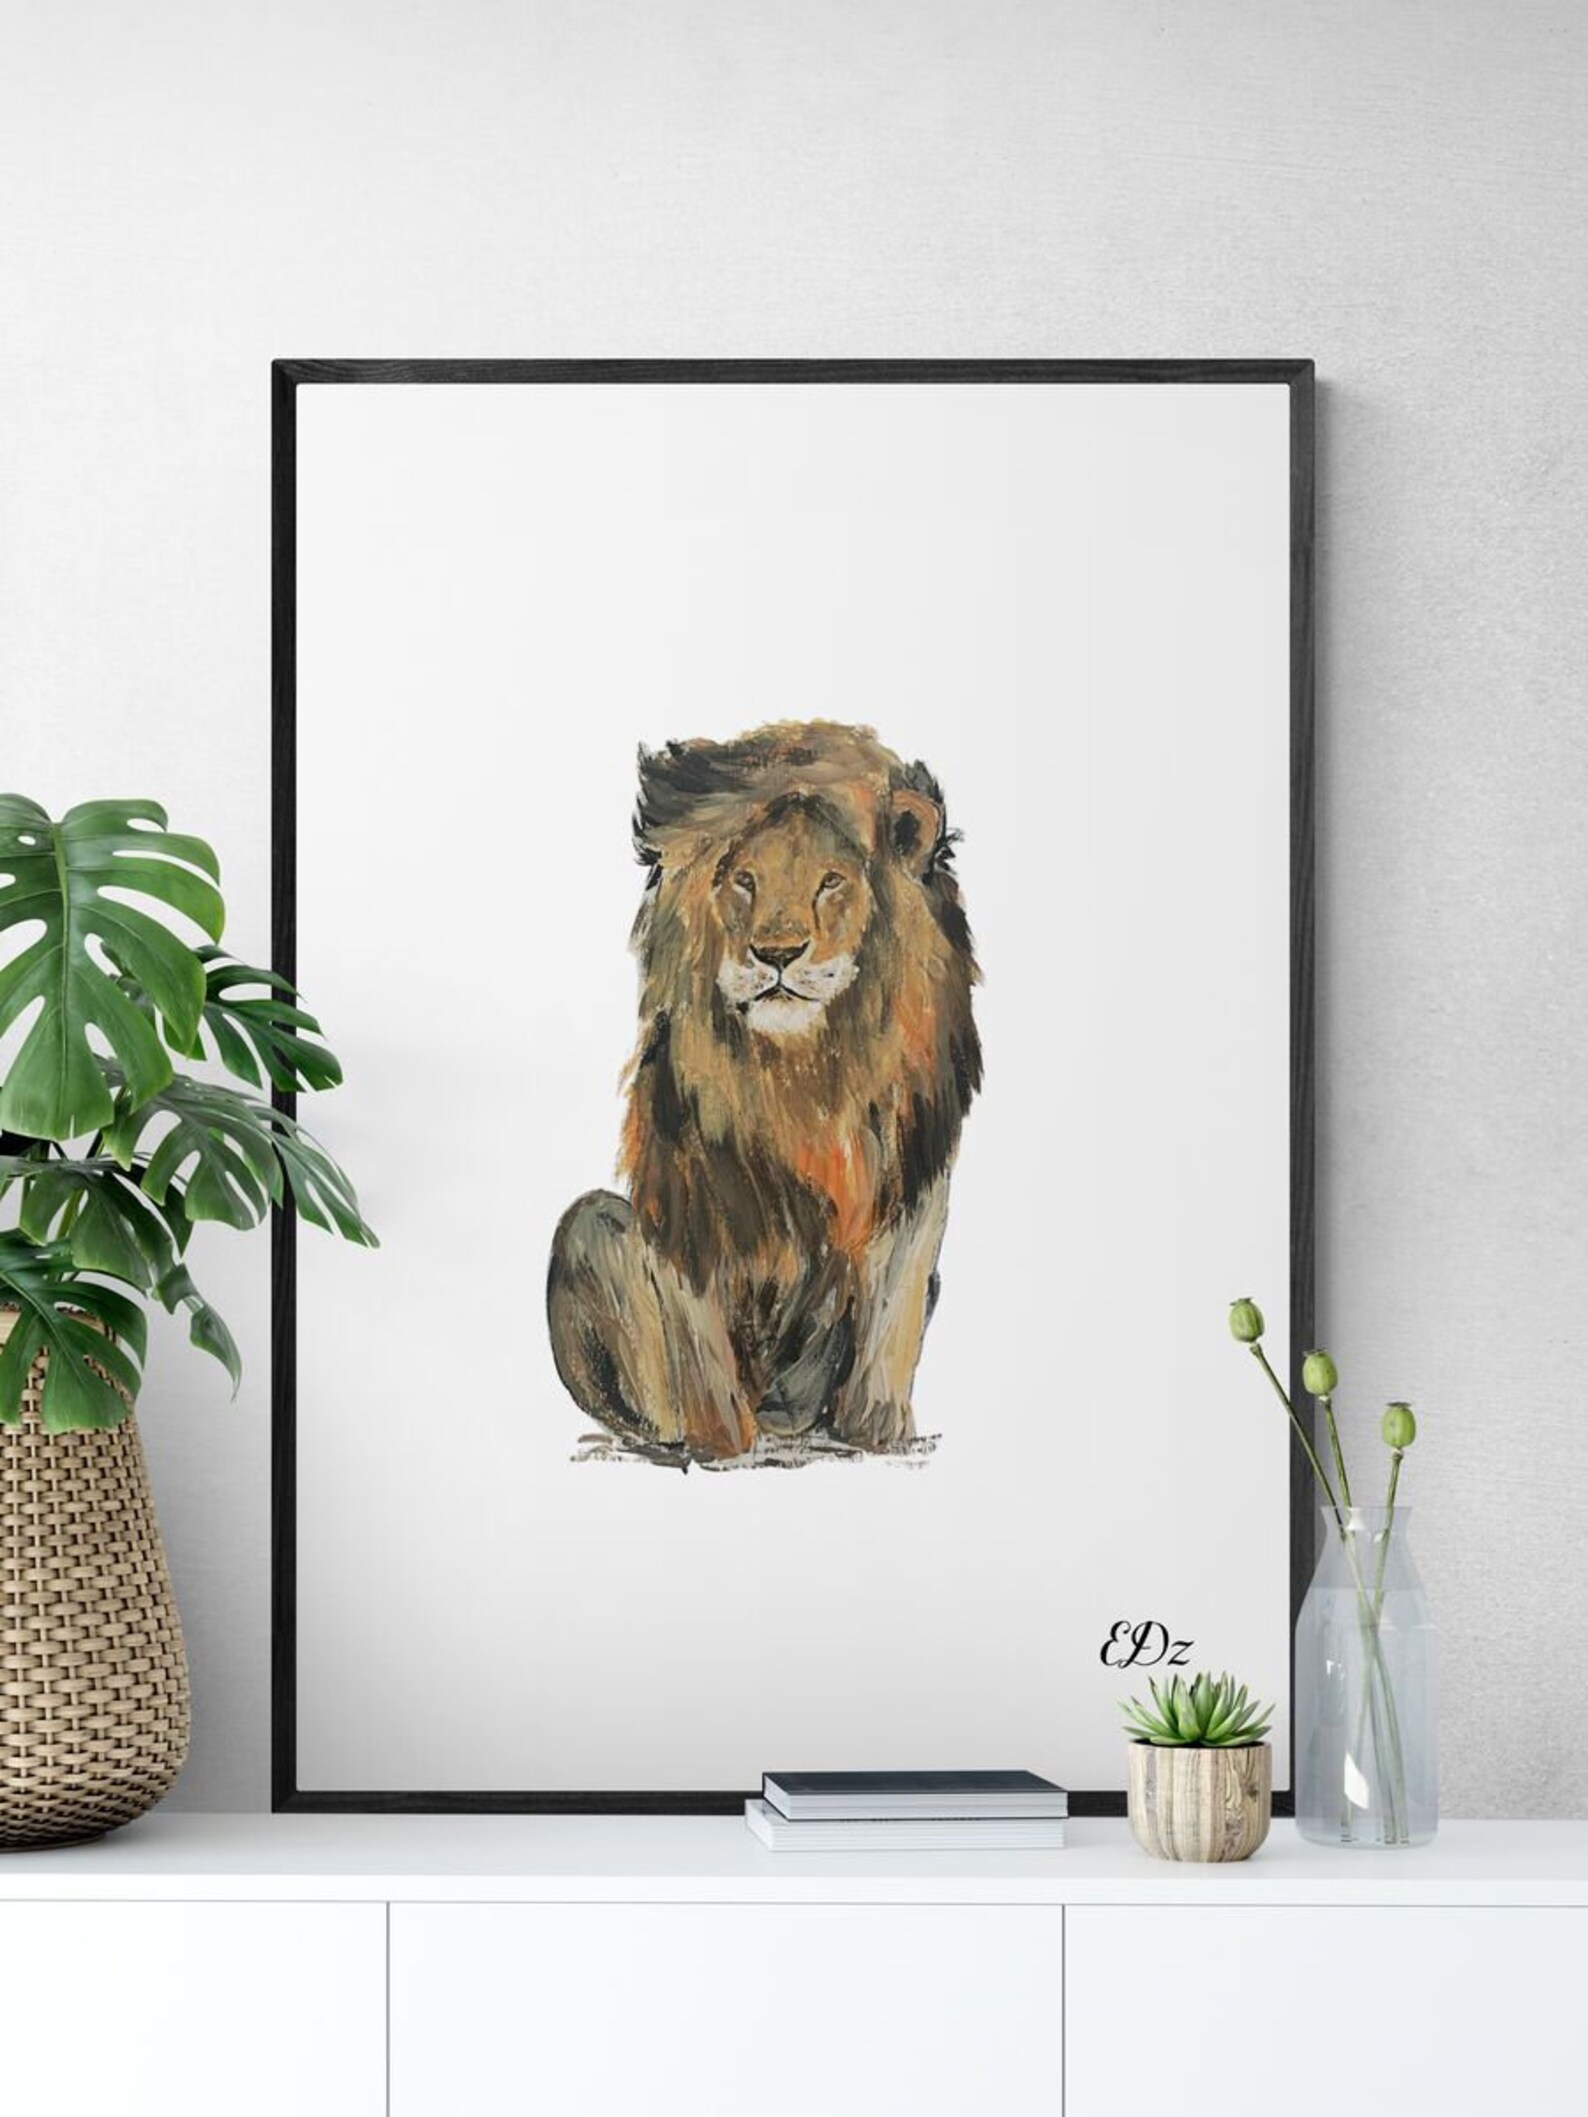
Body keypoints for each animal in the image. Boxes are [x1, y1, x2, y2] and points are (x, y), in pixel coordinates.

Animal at [547, 719, 981, 1462]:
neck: (808, 1070)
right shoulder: (688, 1195)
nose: (776, 954)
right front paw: (719, 1445)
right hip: (585, 1225)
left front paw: (879, 1433)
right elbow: (696, 1342)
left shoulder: (913, 1177)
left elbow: (890, 1316)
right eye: (743, 881)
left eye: (831, 882)